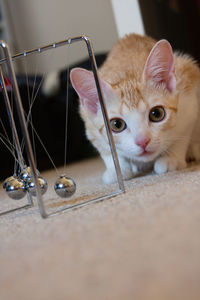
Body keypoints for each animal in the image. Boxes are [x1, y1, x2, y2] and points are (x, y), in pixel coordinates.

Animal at [70, 32, 200, 183]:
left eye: (157, 114)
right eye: (116, 124)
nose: (142, 142)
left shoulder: (188, 98)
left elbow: (182, 133)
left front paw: (171, 158)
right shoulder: (89, 126)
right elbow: (106, 149)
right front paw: (117, 169)